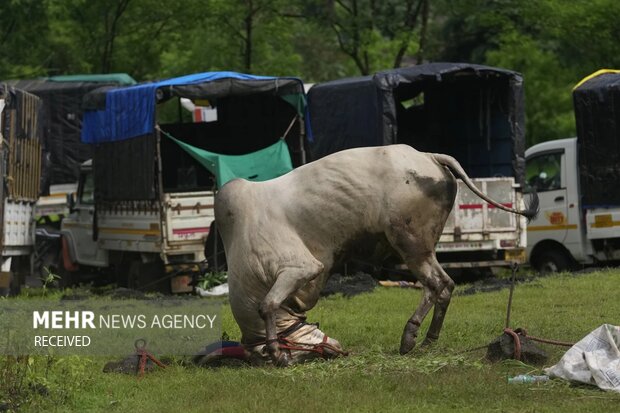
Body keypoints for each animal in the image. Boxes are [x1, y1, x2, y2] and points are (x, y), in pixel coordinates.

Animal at [214, 144, 536, 364]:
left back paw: (409, 336)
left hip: (409, 241)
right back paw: (428, 340)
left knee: (437, 284)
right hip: (423, 247)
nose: (336, 350)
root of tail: (429, 156)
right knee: (445, 285)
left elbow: (268, 304)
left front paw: (277, 353)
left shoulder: (299, 267)